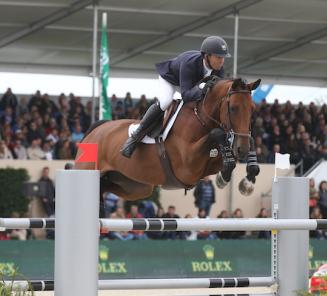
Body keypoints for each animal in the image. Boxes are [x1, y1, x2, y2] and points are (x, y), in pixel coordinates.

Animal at [74, 77, 262, 204]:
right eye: (233, 108)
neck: (200, 119)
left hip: (135, 186)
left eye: (253, 109)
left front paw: (247, 177)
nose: (242, 150)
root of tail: (95, 131)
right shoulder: (188, 167)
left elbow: (240, 143)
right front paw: (225, 176)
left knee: (106, 187)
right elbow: (217, 133)